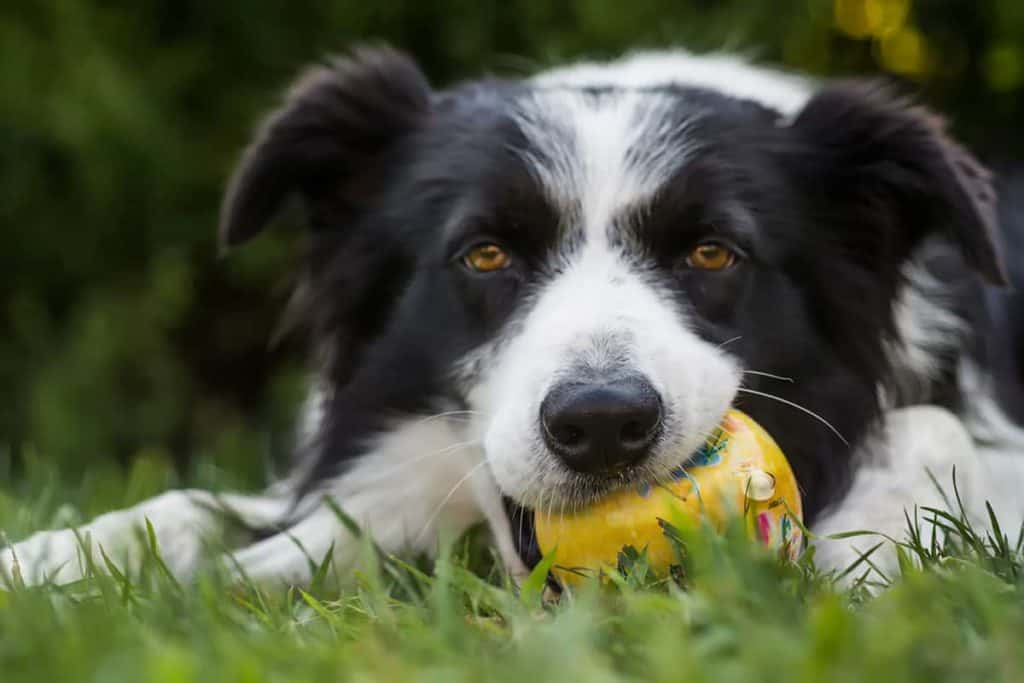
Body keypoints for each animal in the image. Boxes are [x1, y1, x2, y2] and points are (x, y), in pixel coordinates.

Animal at [2, 46, 1024, 589]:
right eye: (485, 254)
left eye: (712, 254)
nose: (603, 424)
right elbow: (190, 506)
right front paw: (46, 559)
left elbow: (931, 430)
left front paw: (868, 553)